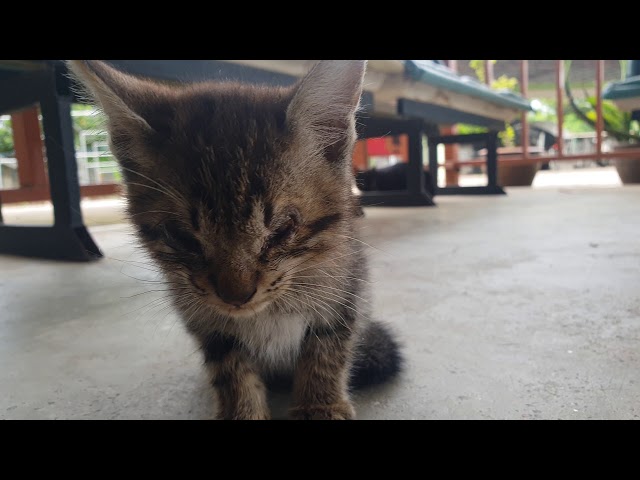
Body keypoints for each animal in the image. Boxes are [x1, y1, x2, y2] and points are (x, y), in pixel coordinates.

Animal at [67, 61, 402, 420]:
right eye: (181, 236)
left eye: (283, 229)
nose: (236, 296)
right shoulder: (202, 317)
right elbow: (228, 366)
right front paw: (241, 409)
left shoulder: (346, 287)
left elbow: (327, 348)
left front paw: (319, 405)